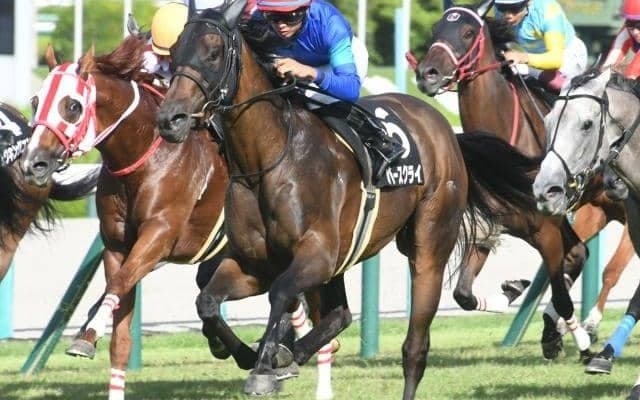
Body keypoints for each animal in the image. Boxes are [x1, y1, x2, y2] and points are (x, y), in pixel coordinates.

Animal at [20, 37, 338, 400]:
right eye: (35, 101)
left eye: (71, 106)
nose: (33, 164)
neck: (144, 154)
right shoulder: (117, 246)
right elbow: (121, 327)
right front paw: (92, 339)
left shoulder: (159, 235)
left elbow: (118, 285)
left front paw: (92, 328)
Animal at [156, 2, 554, 398]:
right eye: (175, 53)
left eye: (213, 54)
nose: (169, 119)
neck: (266, 161)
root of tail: (445, 130)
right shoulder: (256, 263)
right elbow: (207, 301)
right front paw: (250, 355)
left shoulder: (317, 255)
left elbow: (281, 292)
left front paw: (264, 367)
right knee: (340, 314)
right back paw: (293, 352)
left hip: (428, 244)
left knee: (414, 346)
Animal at [412, 0, 633, 355]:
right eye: (435, 29)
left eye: (468, 32)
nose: (426, 73)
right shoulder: (489, 226)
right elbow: (463, 295)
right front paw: (512, 292)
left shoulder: (546, 229)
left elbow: (563, 287)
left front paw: (577, 340)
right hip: (597, 208)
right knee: (581, 253)